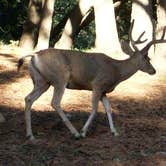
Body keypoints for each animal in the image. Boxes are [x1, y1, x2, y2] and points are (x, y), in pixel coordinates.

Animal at [17, 20, 165, 141]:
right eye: (147, 58)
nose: (153, 70)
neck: (116, 71)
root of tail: (34, 55)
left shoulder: (104, 91)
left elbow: (109, 109)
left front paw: (114, 132)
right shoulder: (97, 84)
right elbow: (94, 109)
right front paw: (83, 132)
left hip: (41, 81)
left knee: (28, 98)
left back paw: (30, 135)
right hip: (60, 78)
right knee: (55, 102)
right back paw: (75, 133)